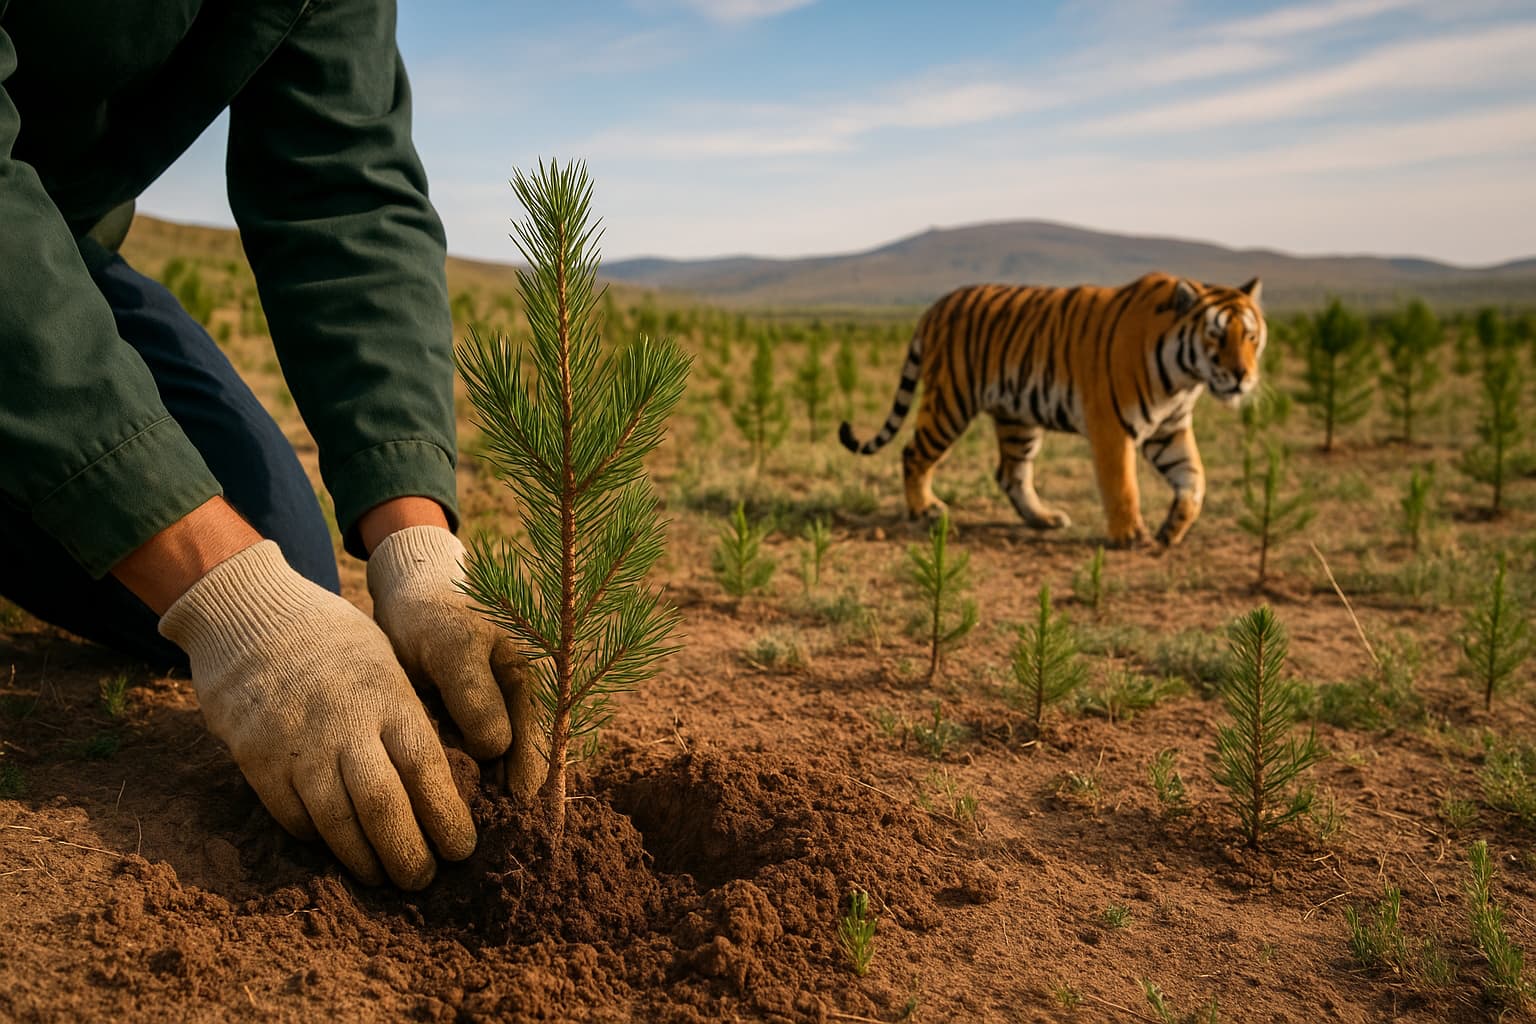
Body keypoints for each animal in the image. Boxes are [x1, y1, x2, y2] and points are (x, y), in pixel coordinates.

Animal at [838, 272, 1266, 547]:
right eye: (1216, 336)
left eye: (1250, 336)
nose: (1242, 377)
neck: (1184, 379)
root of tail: (935, 306)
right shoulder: (1112, 427)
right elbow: (1123, 485)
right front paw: (1131, 535)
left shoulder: (1169, 430)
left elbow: (1195, 479)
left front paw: (1173, 530)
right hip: (950, 402)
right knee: (914, 453)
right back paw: (925, 510)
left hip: (1017, 418)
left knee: (1011, 474)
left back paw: (1042, 519)